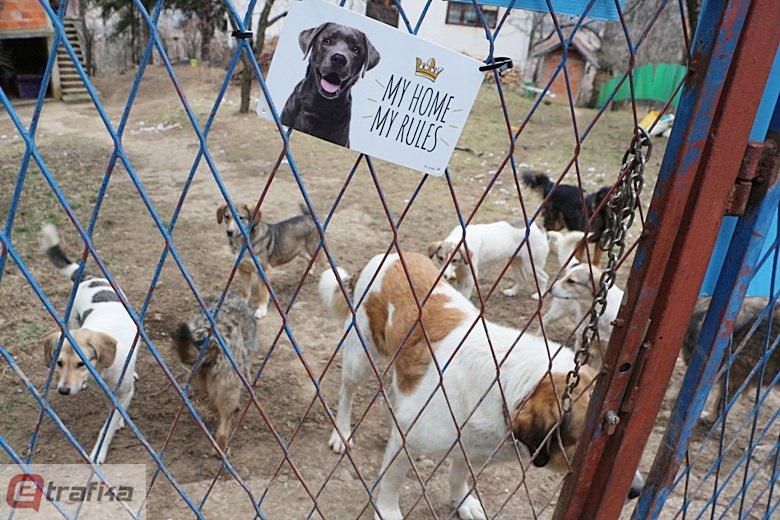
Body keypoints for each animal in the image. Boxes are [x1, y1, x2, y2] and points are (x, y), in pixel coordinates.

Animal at [40, 224, 140, 464]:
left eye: (81, 364)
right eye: (58, 363)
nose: (63, 390)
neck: (101, 370)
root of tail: (88, 276)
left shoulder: (124, 392)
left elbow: (109, 425)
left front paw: (99, 450)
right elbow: (111, 410)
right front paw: (119, 421)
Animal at [171, 295, 260, 452]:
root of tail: (211, 344)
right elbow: (247, 369)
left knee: (214, 405)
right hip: (228, 391)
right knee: (223, 431)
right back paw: (222, 449)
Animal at [319, 252, 643, 519]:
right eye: (589, 439)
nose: (637, 489)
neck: (503, 387)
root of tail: (388, 257)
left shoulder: (470, 447)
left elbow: (458, 476)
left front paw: (463, 503)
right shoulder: (408, 444)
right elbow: (391, 481)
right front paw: (388, 511)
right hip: (361, 358)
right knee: (347, 393)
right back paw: (342, 433)